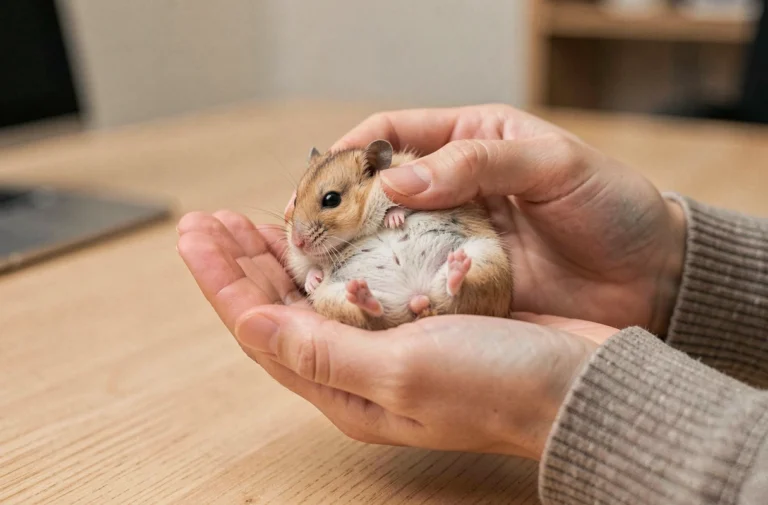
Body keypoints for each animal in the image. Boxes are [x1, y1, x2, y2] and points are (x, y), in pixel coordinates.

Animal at [285, 139, 513, 330]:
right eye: (295, 201)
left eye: (331, 199)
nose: (297, 243)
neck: (356, 233)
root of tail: (420, 299)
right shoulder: (299, 261)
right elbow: (309, 268)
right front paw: (313, 282)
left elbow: (399, 207)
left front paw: (393, 221)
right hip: (336, 300)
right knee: (374, 312)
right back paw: (360, 294)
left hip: (487, 263)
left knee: (459, 288)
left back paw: (457, 266)